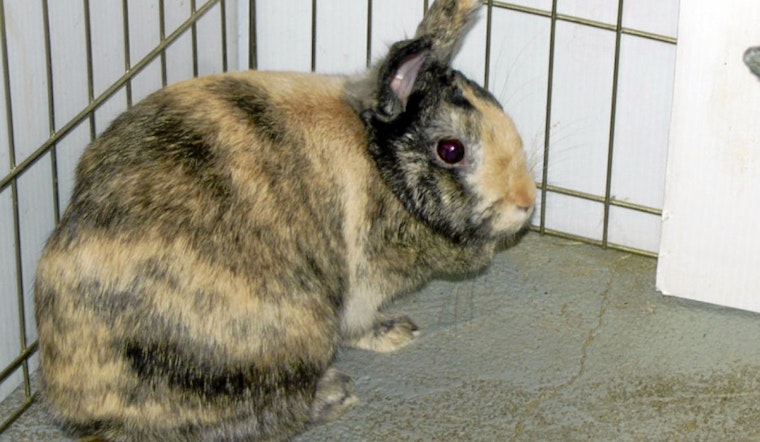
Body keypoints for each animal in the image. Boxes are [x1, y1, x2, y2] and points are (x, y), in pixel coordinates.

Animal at [33, 0, 536, 440]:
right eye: (451, 150)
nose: (527, 202)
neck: (380, 162)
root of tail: (77, 400)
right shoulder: (361, 286)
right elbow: (360, 323)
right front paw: (396, 333)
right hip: (291, 338)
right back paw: (335, 394)